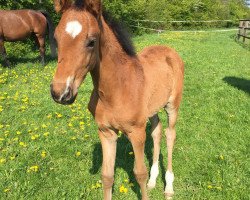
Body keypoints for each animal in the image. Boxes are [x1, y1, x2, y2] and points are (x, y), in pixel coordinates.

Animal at [50, 0, 184, 199]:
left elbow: (139, 173)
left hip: (172, 106)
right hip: (152, 109)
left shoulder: (136, 132)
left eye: (91, 42)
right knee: (157, 130)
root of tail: (169, 50)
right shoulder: (106, 132)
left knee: (170, 134)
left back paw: (168, 187)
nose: (60, 93)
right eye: (56, 38)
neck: (116, 90)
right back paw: (154, 180)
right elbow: (107, 176)